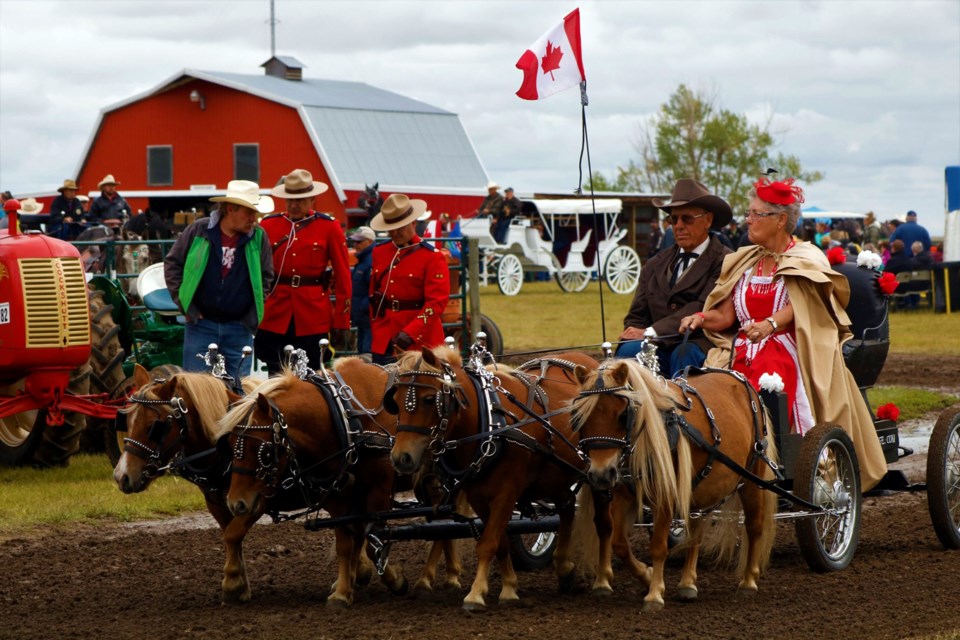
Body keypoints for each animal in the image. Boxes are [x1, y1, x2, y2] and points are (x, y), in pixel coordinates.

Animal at [386, 344, 596, 608]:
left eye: (428, 399)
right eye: (394, 401)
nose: (400, 458)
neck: (489, 424)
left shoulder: (507, 493)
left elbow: (487, 544)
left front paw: (475, 594)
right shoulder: (477, 495)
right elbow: (500, 542)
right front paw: (509, 588)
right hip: (555, 477)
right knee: (567, 508)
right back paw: (565, 568)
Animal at [568, 360, 780, 608]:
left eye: (622, 415)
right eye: (579, 417)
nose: (601, 475)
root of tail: (740, 379)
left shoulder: (665, 496)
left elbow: (658, 546)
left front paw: (654, 594)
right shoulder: (622, 494)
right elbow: (618, 542)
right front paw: (646, 575)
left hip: (751, 479)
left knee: (754, 526)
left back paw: (748, 581)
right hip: (701, 487)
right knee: (696, 533)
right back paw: (687, 583)